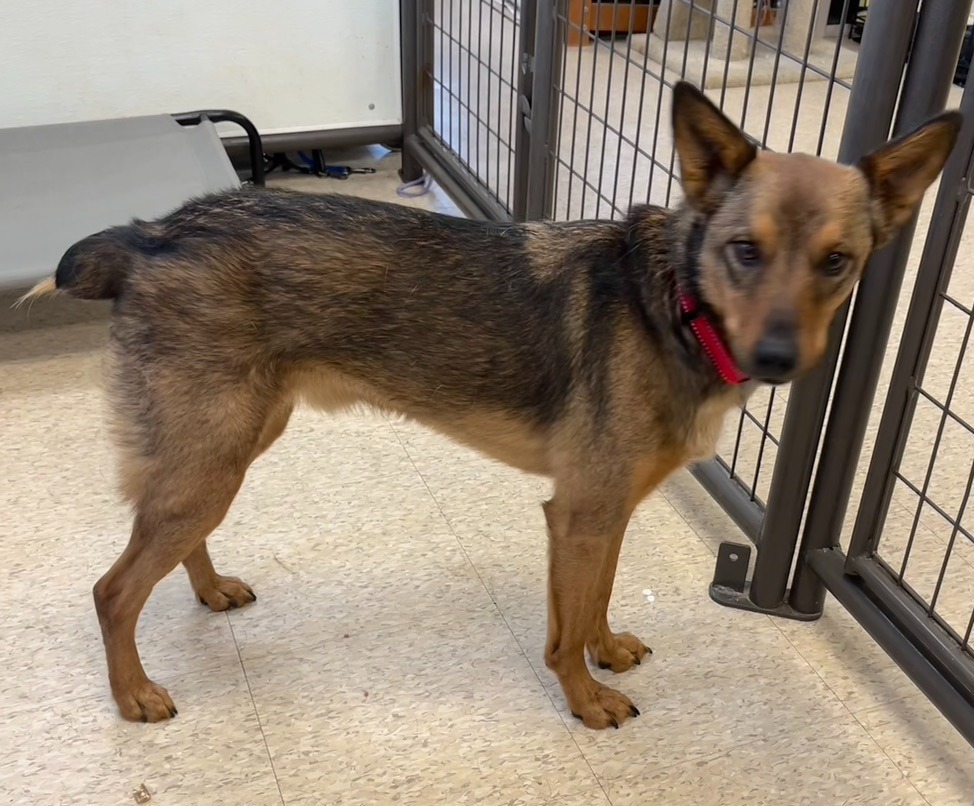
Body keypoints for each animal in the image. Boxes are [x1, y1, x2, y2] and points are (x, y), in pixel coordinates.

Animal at [21, 83, 960, 732]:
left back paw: (210, 590)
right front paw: (585, 699)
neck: (673, 305)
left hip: (225, 449)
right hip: (212, 455)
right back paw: (135, 694)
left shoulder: (605, 513)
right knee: (112, 590)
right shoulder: (579, 513)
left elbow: (594, 601)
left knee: (173, 541)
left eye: (837, 261)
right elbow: (564, 628)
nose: (777, 360)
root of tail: (152, 234)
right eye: (744, 251)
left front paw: (607, 654)